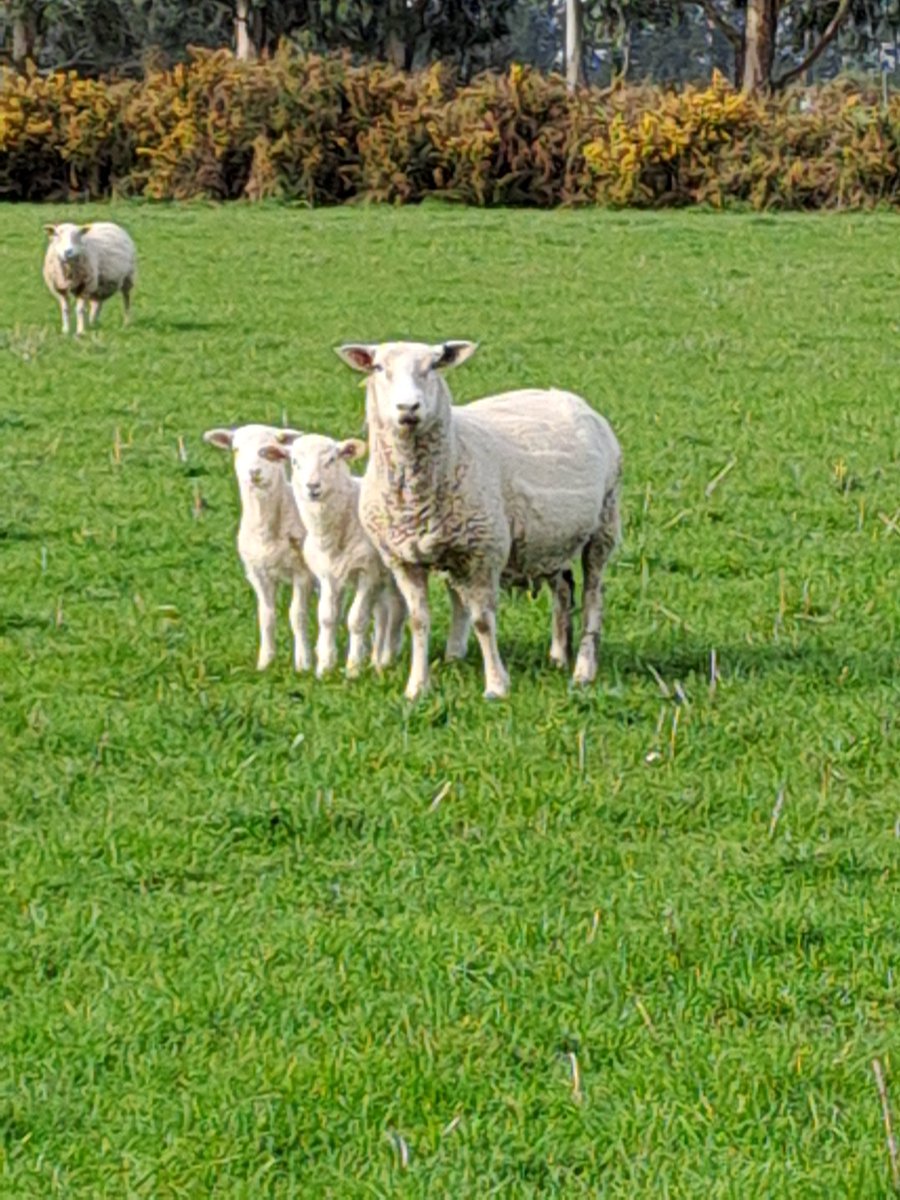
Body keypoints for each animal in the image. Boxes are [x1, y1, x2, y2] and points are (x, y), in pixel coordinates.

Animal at [203, 423, 314, 672]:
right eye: (236, 449)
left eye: (269, 450)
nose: (253, 472)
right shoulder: (258, 574)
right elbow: (266, 616)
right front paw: (266, 660)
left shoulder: (301, 573)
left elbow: (297, 615)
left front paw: (303, 662)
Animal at [260, 433, 406, 679]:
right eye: (294, 462)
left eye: (331, 460)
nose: (312, 486)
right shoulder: (328, 574)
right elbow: (327, 617)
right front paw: (325, 667)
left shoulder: (368, 572)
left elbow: (356, 619)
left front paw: (353, 669)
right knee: (386, 611)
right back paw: (378, 658)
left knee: (396, 610)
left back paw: (385, 659)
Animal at [336, 340, 621, 701]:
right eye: (377, 368)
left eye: (433, 366)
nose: (408, 408)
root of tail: (571, 398)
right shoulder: (402, 559)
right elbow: (419, 621)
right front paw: (417, 687)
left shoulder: (483, 552)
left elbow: (483, 621)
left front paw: (497, 685)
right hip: (550, 538)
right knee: (564, 589)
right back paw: (558, 656)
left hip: (604, 524)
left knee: (592, 597)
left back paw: (584, 670)